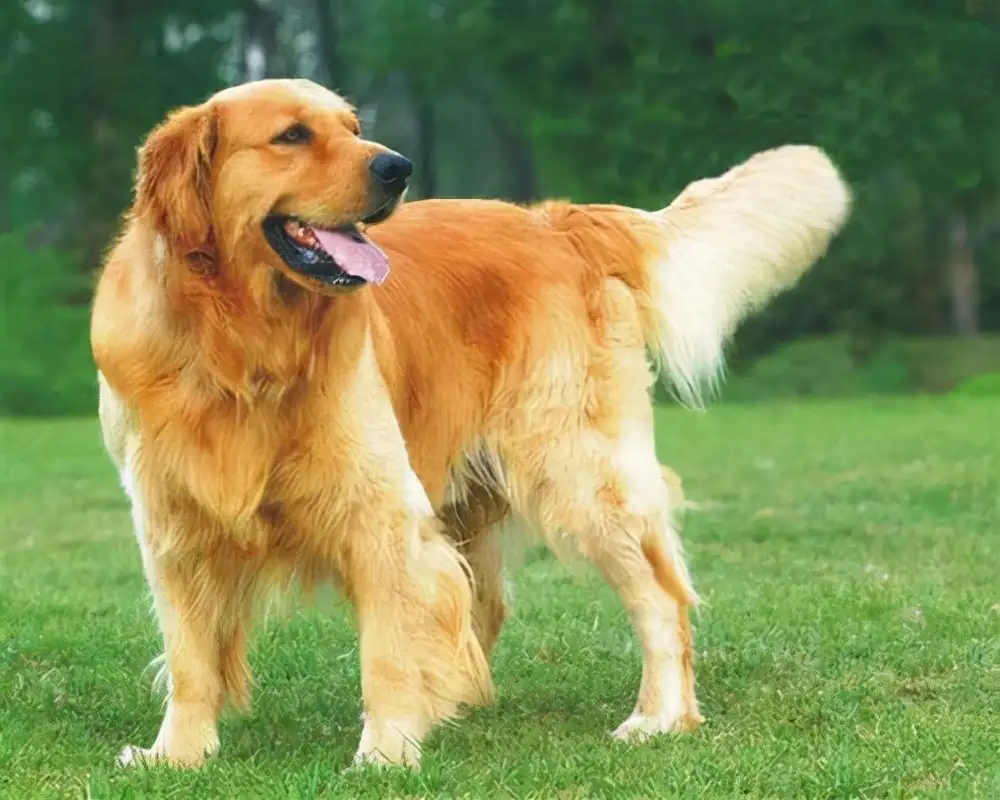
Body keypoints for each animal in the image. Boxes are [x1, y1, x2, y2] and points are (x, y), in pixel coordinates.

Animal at [90, 76, 848, 768]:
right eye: (292, 135)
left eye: (353, 126)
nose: (397, 166)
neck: (241, 346)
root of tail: (559, 222)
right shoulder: (171, 524)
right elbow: (190, 657)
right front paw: (177, 754)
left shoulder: (380, 512)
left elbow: (389, 645)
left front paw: (385, 753)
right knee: (482, 605)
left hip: (574, 470)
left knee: (661, 597)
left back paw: (659, 717)